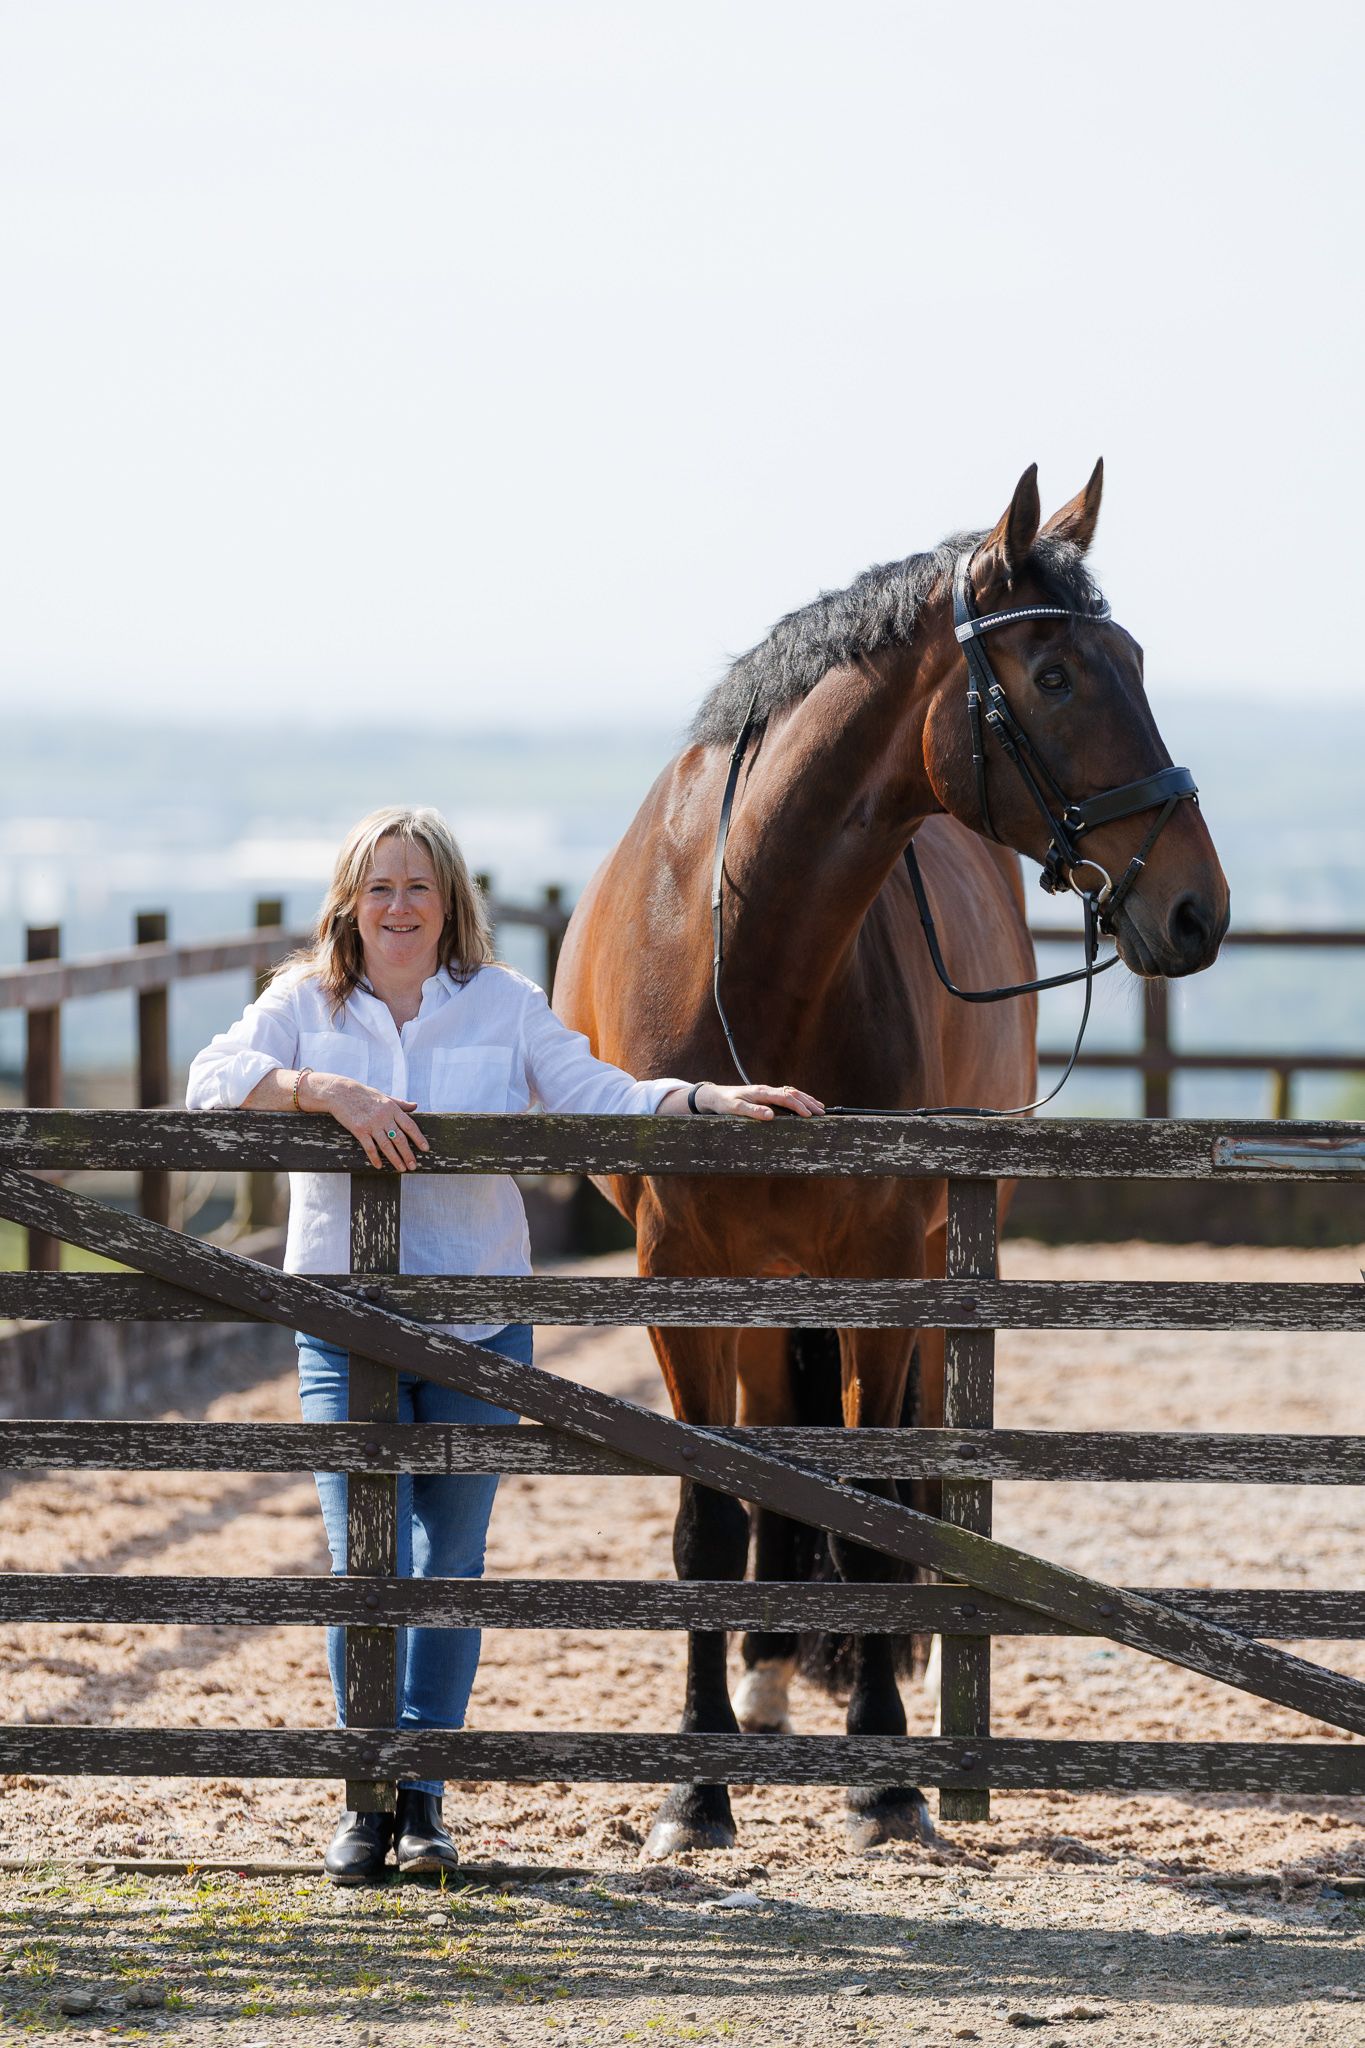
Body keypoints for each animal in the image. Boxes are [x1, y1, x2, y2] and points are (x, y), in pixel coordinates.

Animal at [552, 464, 1230, 1856]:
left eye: (1133, 657)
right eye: (1057, 674)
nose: (1196, 904)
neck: (750, 945)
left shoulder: (884, 1254)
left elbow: (872, 1511)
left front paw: (884, 1771)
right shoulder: (679, 1268)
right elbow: (710, 1514)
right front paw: (694, 1786)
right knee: (776, 1452)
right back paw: (764, 1674)